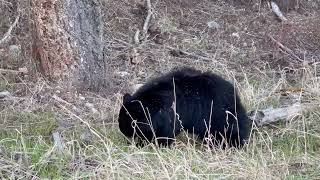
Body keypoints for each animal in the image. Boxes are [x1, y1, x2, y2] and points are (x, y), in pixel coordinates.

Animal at [119, 67, 251, 148]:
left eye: (132, 125)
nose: (123, 132)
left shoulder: (171, 114)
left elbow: (166, 133)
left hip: (219, 114)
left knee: (230, 129)